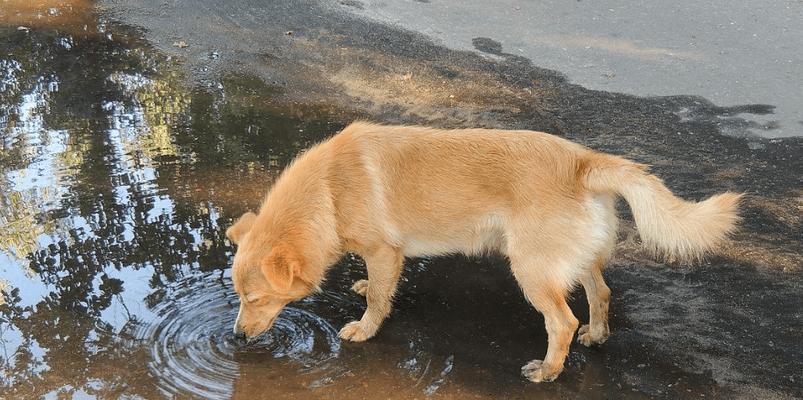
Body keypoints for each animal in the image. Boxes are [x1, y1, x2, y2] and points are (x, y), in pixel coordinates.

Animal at [226, 121, 740, 382]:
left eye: (255, 300)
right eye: (239, 298)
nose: (235, 339)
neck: (328, 191)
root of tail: (583, 162)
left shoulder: (384, 250)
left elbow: (377, 301)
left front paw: (365, 328)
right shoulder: (386, 255)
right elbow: (379, 287)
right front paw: (367, 286)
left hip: (531, 270)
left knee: (562, 321)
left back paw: (548, 370)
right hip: (576, 261)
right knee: (600, 295)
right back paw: (596, 336)